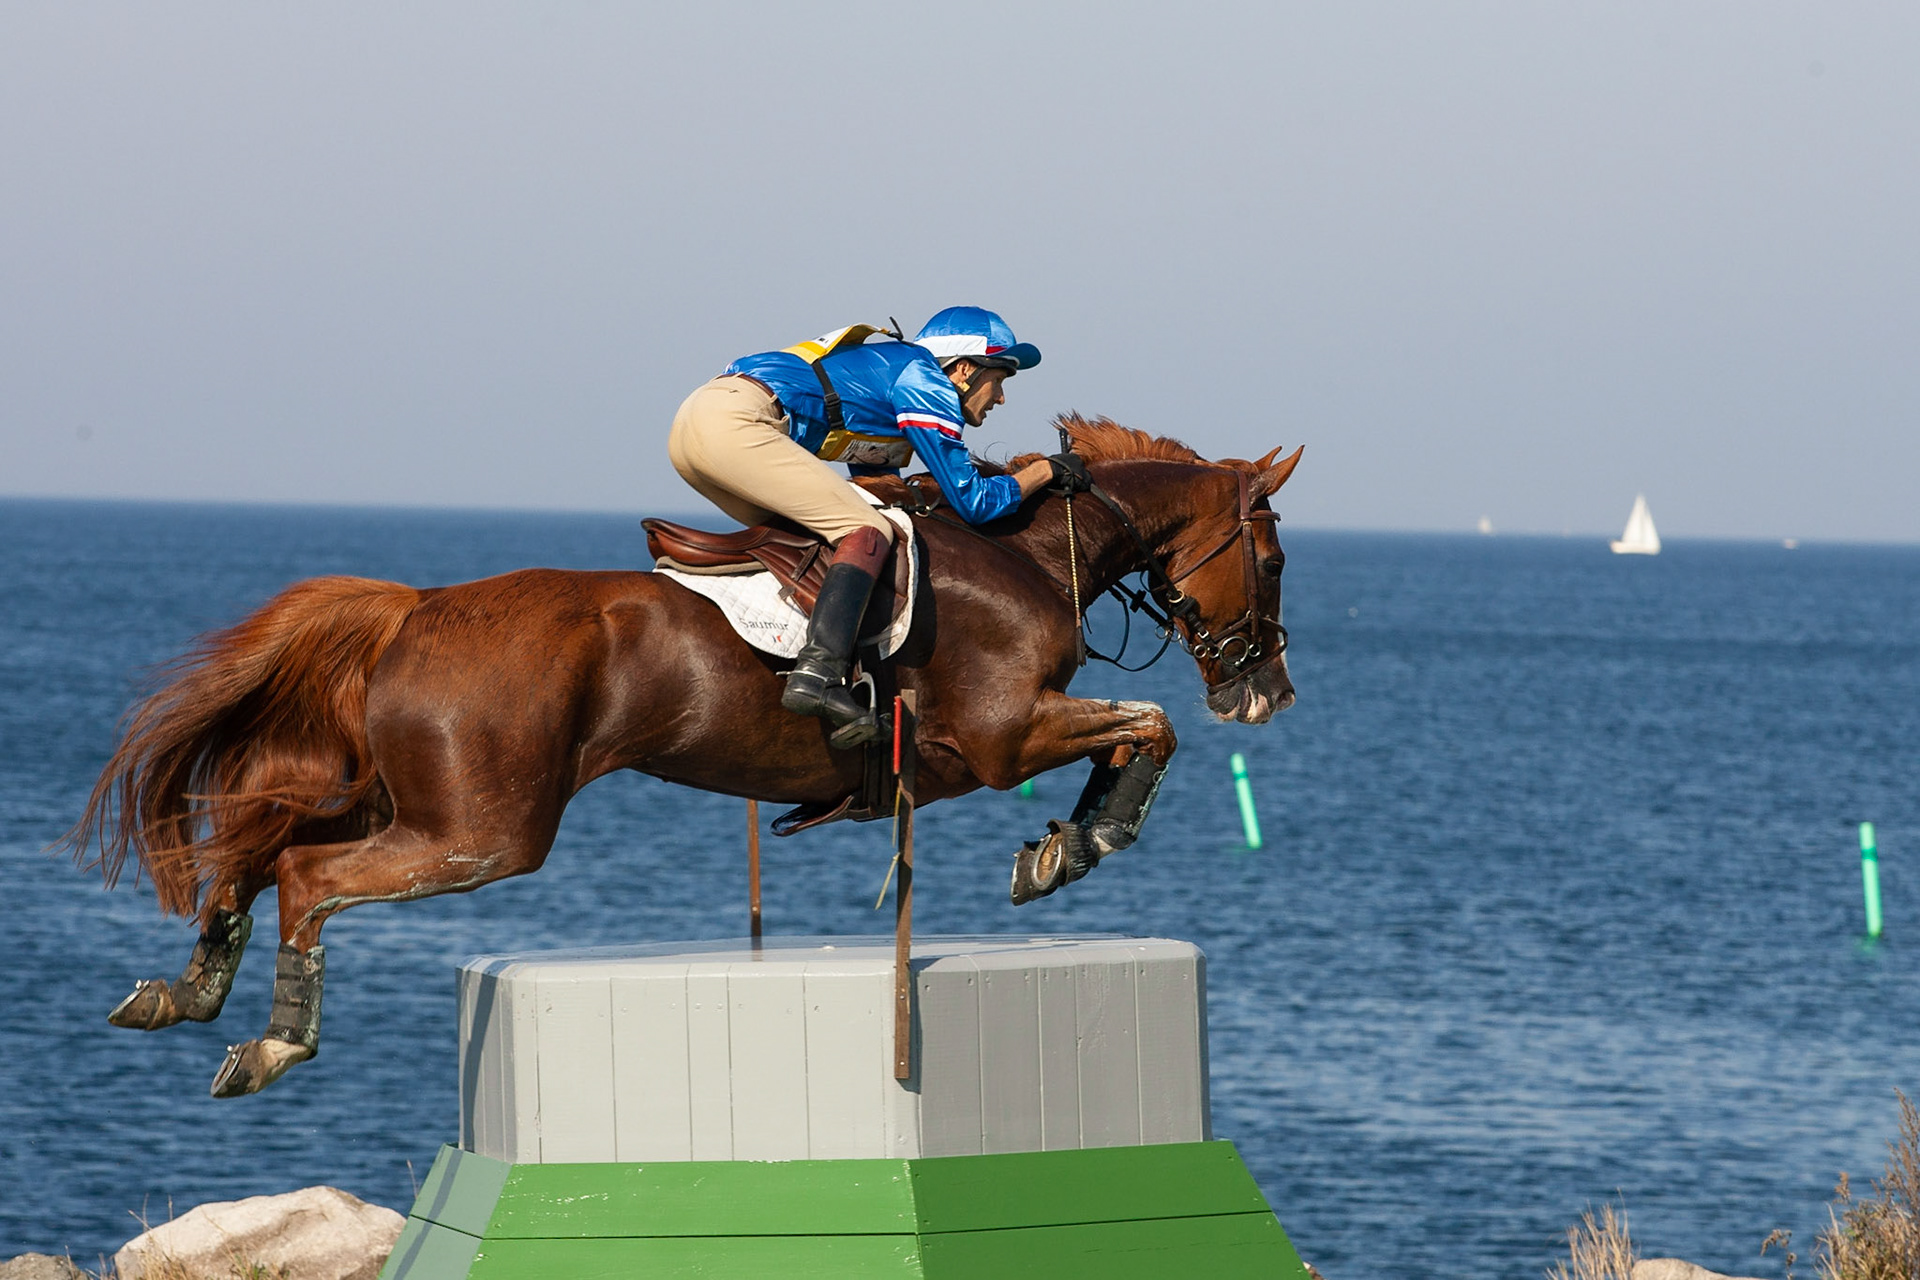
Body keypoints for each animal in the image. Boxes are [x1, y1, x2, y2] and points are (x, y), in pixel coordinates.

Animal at [64, 415, 1301, 1097]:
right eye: (1278, 557)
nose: (1269, 690)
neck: (1033, 547)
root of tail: (415, 607)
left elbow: (1141, 728)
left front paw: (1063, 844)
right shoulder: (1003, 735)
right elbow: (1149, 725)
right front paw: (1076, 844)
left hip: (408, 796)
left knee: (260, 839)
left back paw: (188, 989)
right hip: (483, 827)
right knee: (308, 872)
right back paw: (274, 1041)